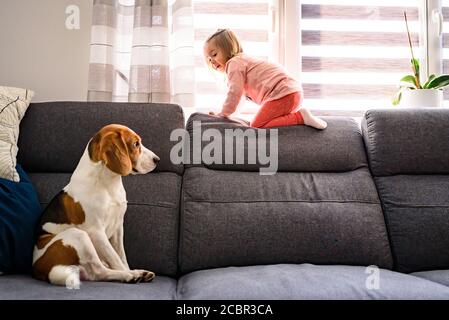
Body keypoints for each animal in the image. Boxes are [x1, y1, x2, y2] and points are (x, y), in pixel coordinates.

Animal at [32, 124, 159, 286]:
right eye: (136, 144)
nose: (157, 160)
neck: (108, 184)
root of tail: (37, 269)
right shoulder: (96, 232)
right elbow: (115, 258)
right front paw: (128, 272)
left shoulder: (118, 227)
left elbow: (121, 256)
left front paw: (128, 268)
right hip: (78, 235)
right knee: (99, 270)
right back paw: (131, 275)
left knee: (95, 273)